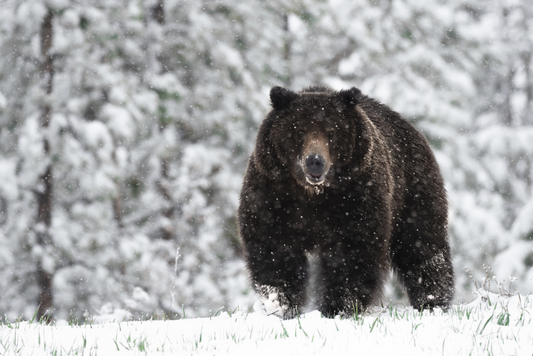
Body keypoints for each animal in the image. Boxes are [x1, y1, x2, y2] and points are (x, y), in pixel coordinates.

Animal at [237, 85, 454, 318]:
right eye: (300, 130)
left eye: (331, 131)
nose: (315, 161)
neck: (313, 194)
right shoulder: (272, 195)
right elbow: (275, 251)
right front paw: (279, 306)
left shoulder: (357, 198)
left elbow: (352, 254)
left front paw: (339, 308)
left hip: (412, 191)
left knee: (422, 247)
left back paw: (433, 301)